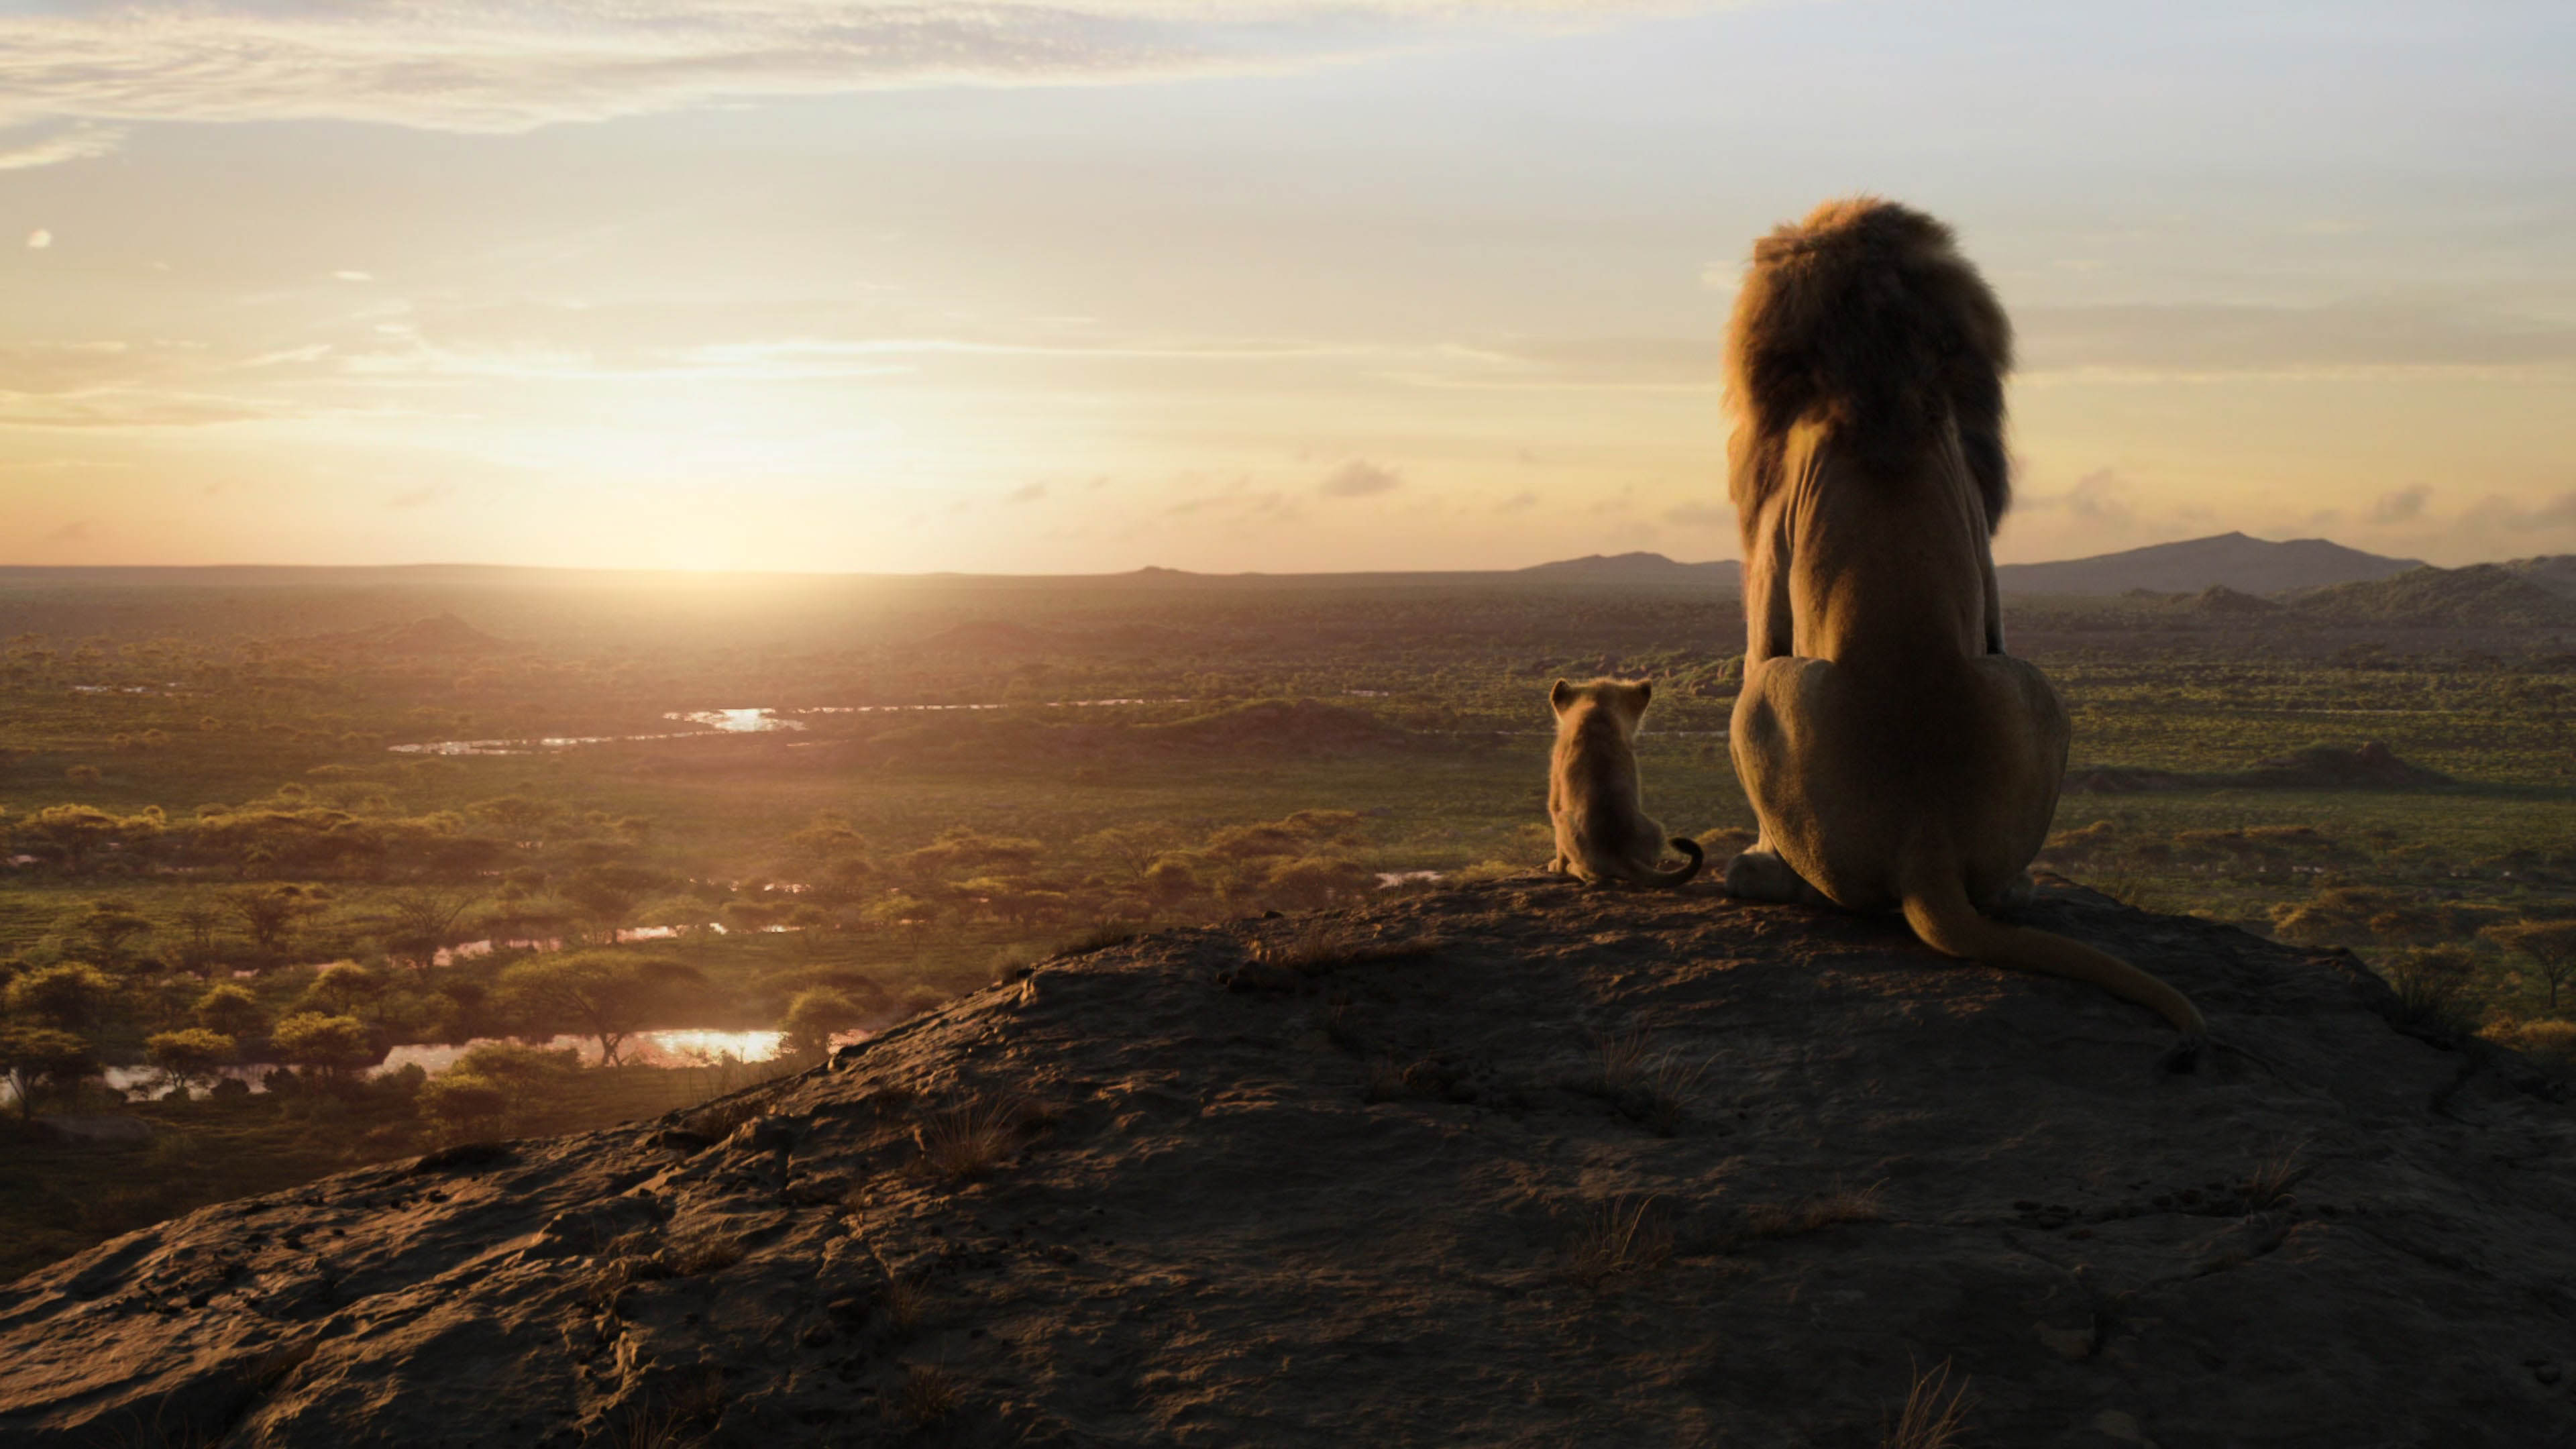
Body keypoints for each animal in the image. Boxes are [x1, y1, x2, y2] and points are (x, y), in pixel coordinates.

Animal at [1721, 195, 2205, 1046]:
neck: (1879, 374)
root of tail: (1929, 846)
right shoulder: (1981, 537)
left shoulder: (1771, 545)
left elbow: (1757, 633)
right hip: (2037, 684)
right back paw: (2021, 889)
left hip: (1762, 705)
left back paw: (1760, 873)